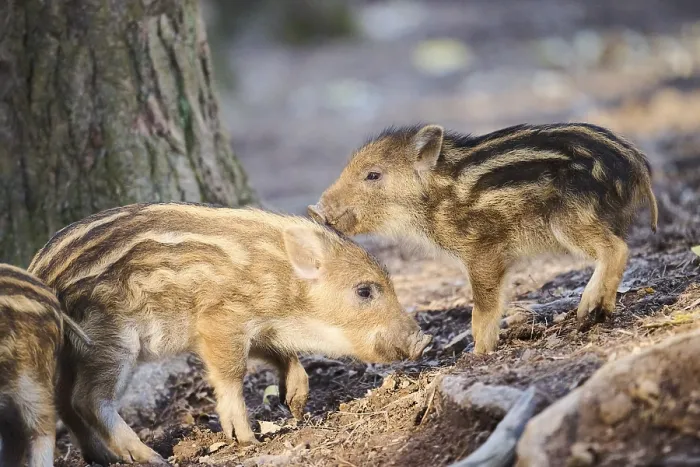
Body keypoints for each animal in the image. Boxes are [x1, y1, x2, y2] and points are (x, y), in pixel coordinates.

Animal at [27, 202, 432, 465]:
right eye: (364, 291)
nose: (422, 340)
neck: (283, 286)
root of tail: (41, 273)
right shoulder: (220, 322)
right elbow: (233, 374)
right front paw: (246, 438)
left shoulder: (258, 328)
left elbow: (281, 355)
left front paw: (296, 402)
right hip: (110, 342)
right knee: (88, 399)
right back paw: (150, 457)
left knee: (63, 402)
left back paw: (101, 457)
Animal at [309, 123, 658, 354]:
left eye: (373, 175)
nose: (315, 208)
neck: (436, 198)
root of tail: (636, 165)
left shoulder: (483, 251)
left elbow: (483, 306)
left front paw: (477, 353)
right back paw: (600, 313)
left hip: (571, 220)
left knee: (616, 249)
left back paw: (587, 312)